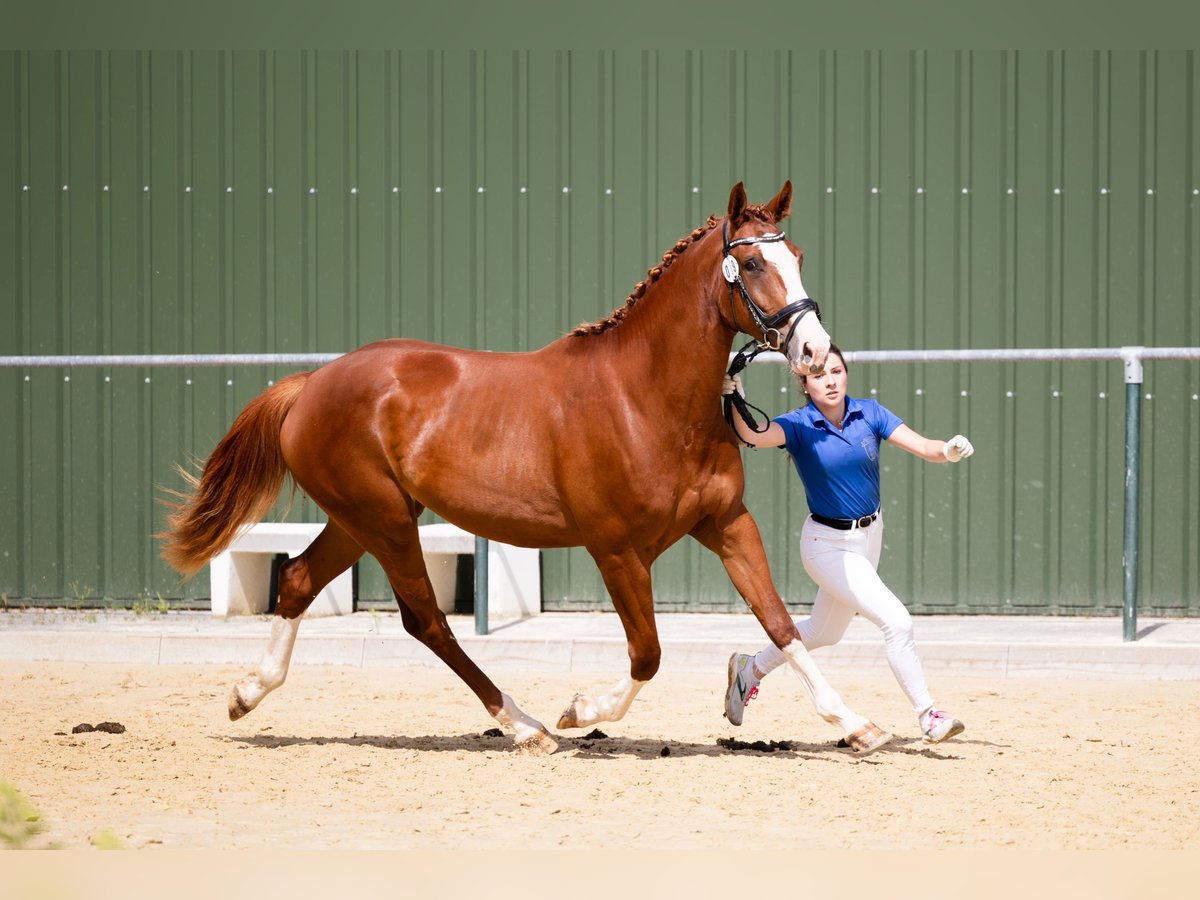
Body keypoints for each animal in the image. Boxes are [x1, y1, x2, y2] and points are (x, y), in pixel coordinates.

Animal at [159, 181, 892, 753]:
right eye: (756, 263)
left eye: (797, 256)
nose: (816, 353)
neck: (647, 398)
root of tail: (311, 384)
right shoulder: (616, 550)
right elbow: (648, 653)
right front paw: (580, 711)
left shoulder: (726, 524)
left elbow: (780, 626)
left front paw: (857, 725)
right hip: (383, 520)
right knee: (424, 620)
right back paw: (527, 725)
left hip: (362, 518)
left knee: (300, 582)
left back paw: (248, 693)